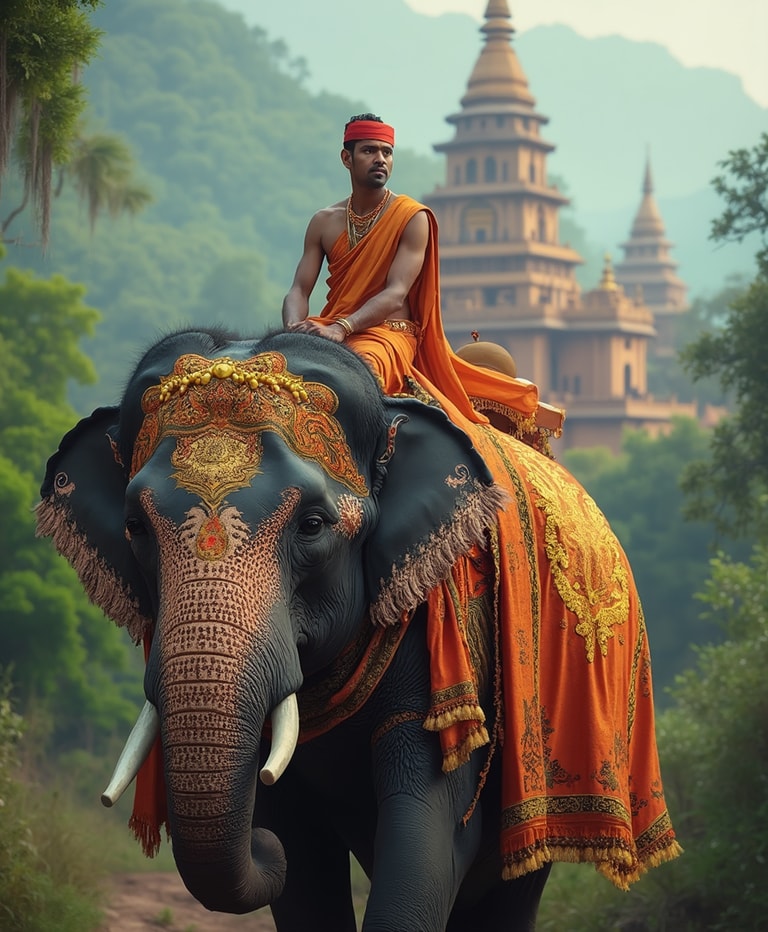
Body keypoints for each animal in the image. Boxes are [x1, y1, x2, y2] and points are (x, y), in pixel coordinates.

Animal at [37, 328, 680, 931]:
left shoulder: (445, 643)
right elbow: (300, 855)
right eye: (135, 528)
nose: (262, 851)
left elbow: (429, 837)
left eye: (313, 525)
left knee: (512, 885)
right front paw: (279, 837)